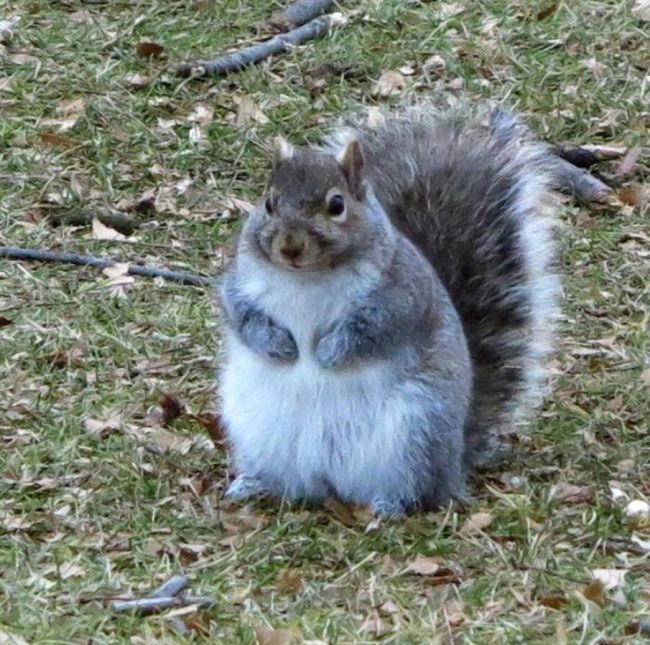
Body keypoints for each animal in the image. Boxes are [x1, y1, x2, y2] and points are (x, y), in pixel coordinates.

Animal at [216, 105, 556, 520]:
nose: (290, 246)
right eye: (268, 203)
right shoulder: (239, 285)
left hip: (416, 431)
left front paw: (328, 354)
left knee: (418, 489)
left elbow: (373, 330)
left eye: (336, 205)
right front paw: (279, 345)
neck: (307, 276)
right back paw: (254, 485)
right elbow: (240, 315)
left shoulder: (401, 297)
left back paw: (389, 506)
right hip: (259, 432)